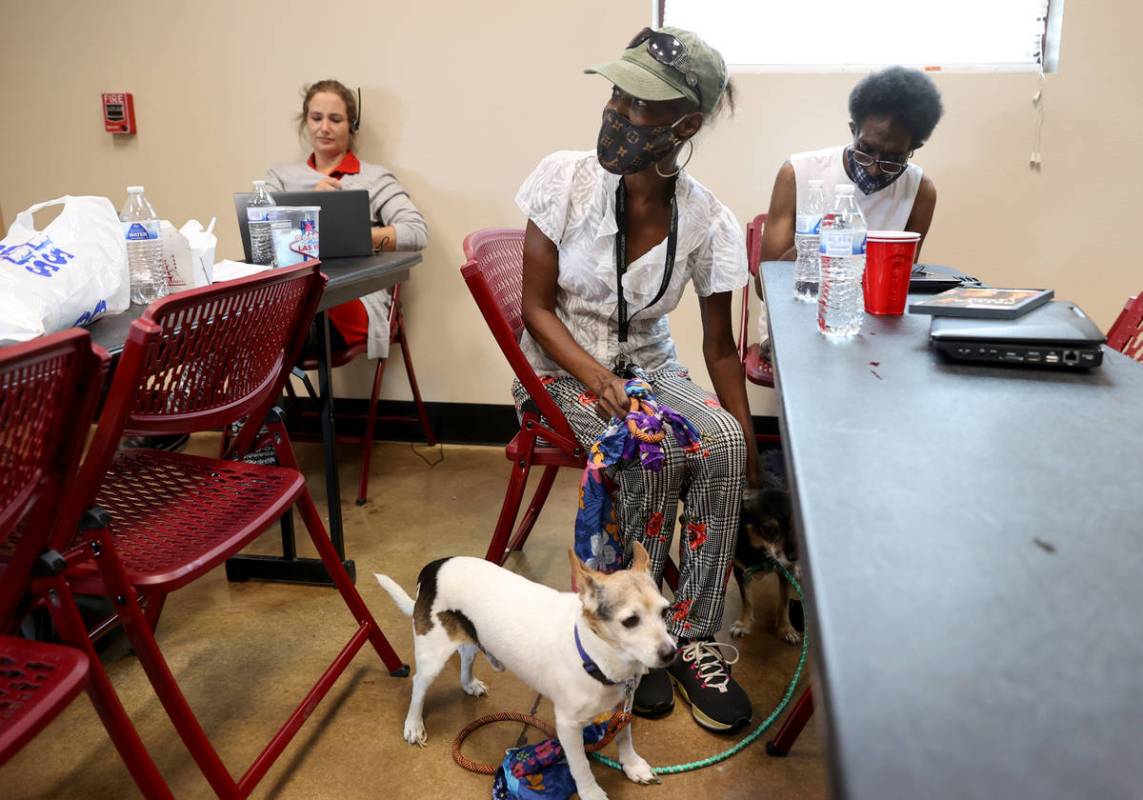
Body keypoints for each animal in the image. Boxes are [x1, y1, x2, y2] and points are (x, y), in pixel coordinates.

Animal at [374, 544, 676, 800]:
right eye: (630, 621)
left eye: (665, 612)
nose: (671, 653)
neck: (595, 655)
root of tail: (434, 567)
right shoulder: (567, 727)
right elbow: (580, 766)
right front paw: (591, 793)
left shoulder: (623, 704)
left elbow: (624, 736)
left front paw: (632, 765)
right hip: (432, 656)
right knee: (419, 687)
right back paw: (414, 724)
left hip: (472, 636)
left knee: (466, 658)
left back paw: (469, 683)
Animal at [726, 452, 800, 649]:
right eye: (768, 530)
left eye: (795, 526)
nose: (794, 556)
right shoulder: (740, 571)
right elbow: (747, 600)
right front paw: (743, 624)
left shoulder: (785, 571)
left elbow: (784, 603)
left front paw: (786, 629)